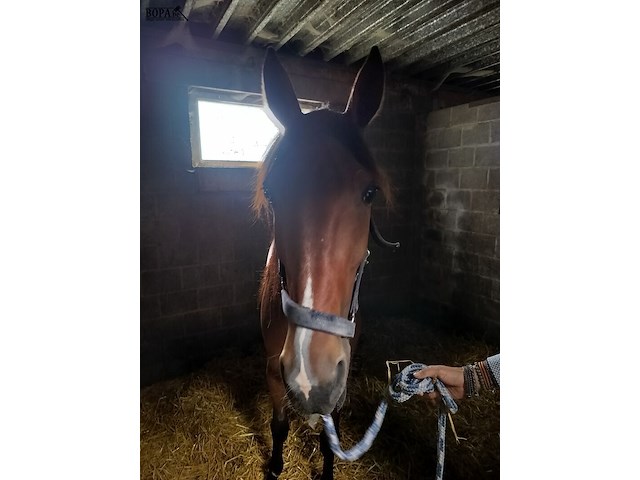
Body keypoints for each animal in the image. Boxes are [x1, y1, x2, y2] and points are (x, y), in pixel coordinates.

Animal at [253, 46, 396, 480]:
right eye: (272, 192)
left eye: (370, 193)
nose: (309, 375)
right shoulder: (273, 371)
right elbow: (279, 424)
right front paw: (275, 467)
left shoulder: (338, 379)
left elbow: (328, 437)